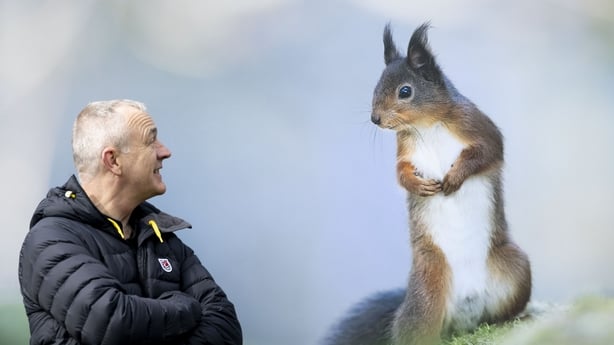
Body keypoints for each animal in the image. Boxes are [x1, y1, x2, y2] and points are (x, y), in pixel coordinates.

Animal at [328, 23, 536, 344]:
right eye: (376, 87)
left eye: (405, 91)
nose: (375, 119)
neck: (427, 125)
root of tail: (464, 318)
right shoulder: (405, 149)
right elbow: (400, 172)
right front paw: (417, 186)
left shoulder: (478, 125)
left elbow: (489, 152)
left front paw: (455, 177)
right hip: (425, 295)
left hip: (515, 269)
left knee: (498, 314)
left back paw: (517, 317)